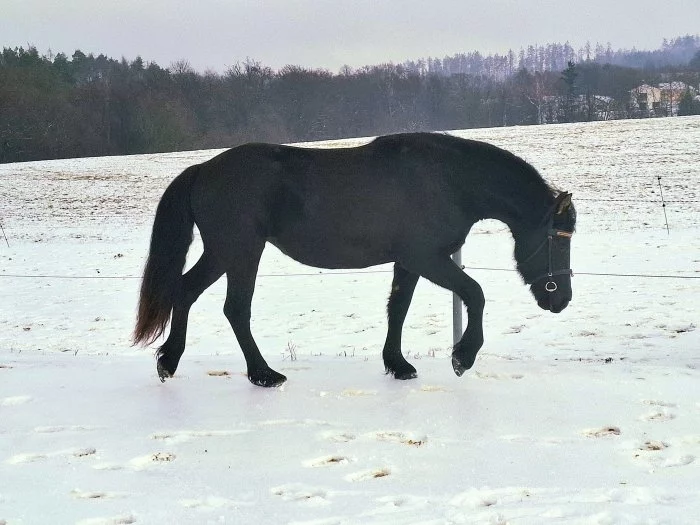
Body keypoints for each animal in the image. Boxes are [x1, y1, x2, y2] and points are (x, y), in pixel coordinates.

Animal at [133, 132, 576, 384]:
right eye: (559, 239)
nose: (561, 299)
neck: (450, 180)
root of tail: (203, 169)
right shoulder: (427, 257)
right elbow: (476, 293)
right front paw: (462, 357)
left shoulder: (408, 262)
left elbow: (398, 308)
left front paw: (397, 364)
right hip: (241, 252)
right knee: (236, 309)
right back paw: (263, 375)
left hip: (221, 253)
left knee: (185, 291)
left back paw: (168, 362)